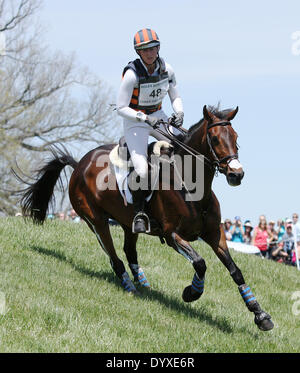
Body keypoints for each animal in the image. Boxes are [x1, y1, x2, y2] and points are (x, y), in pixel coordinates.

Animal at [18, 105, 272, 332]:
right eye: (215, 139)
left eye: (235, 138)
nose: (236, 174)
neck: (192, 187)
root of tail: (80, 163)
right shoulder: (172, 235)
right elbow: (200, 263)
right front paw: (191, 292)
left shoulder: (214, 234)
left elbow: (235, 270)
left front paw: (260, 315)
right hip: (96, 221)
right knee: (114, 257)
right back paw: (130, 286)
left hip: (128, 224)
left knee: (129, 251)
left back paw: (145, 285)